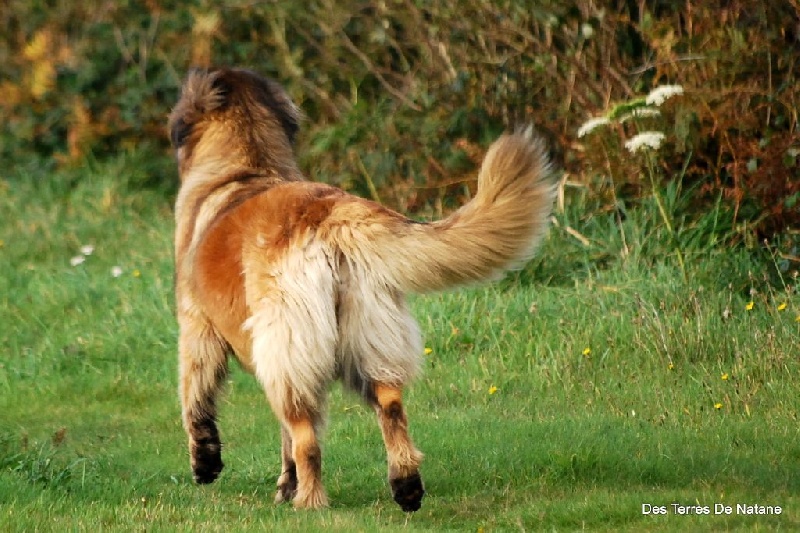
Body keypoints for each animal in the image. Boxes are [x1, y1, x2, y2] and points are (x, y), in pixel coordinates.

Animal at [169, 67, 556, 512]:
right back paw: (405, 485)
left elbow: (196, 398)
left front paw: (206, 463)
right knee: (389, 406)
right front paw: (284, 485)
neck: (246, 167)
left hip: (292, 346)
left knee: (307, 437)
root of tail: (331, 212)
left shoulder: (197, 327)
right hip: (365, 334)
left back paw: (311, 503)